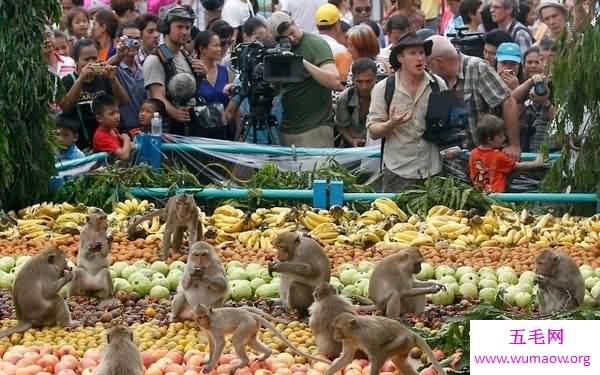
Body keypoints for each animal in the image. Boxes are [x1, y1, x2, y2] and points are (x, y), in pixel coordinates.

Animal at [195, 304, 330, 374]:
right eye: (200, 317)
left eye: (205, 316)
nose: (203, 321)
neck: (210, 321)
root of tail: (251, 315)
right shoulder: (207, 329)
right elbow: (212, 343)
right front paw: (208, 361)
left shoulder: (215, 326)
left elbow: (220, 342)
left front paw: (210, 366)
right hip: (252, 327)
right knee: (251, 342)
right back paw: (267, 354)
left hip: (246, 325)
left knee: (237, 340)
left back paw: (243, 362)